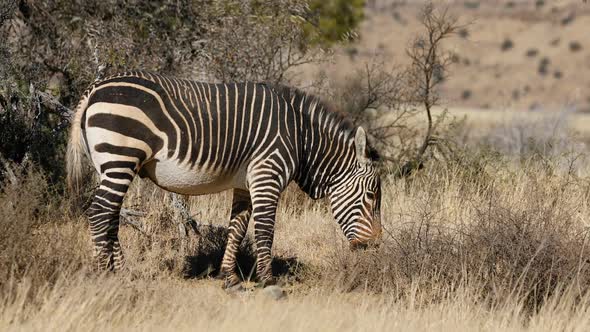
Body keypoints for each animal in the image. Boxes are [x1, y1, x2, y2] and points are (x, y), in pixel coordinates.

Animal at [67, 70, 384, 288]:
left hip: (109, 165)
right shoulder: (268, 175)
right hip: (121, 156)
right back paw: (107, 275)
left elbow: (237, 229)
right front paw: (268, 280)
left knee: (110, 215)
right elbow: (265, 231)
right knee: (100, 213)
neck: (301, 138)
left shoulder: (245, 184)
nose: (374, 247)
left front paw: (229, 277)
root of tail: (95, 88)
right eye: (371, 196)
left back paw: (122, 273)